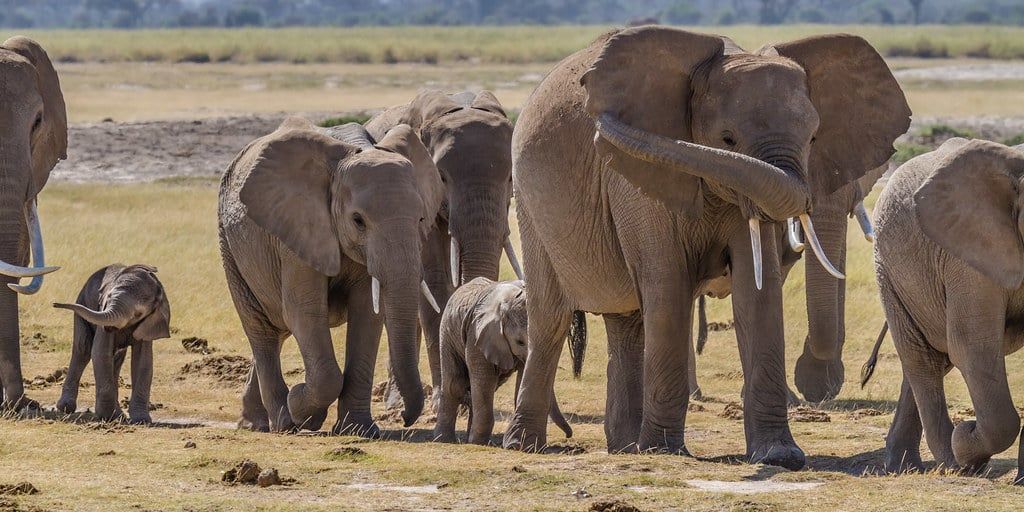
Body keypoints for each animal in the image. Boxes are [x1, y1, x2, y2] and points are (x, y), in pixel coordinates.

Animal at [53, 264, 171, 423]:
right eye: (108, 297)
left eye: (138, 314)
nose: (55, 304)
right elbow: (100, 352)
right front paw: (107, 416)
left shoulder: (148, 324)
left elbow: (143, 361)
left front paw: (141, 420)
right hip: (82, 301)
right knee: (83, 350)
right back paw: (66, 407)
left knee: (116, 359)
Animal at [218, 118, 443, 435]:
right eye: (358, 221)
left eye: (422, 218)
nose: (404, 417)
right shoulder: (298, 228)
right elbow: (305, 311)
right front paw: (302, 409)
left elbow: (368, 314)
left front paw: (358, 430)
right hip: (230, 246)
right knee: (261, 329)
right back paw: (282, 422)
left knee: (278, 330)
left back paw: (255, 422)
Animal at [434, 278, 571, 445]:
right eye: (519, 342)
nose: (568, 435)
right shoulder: (476, 334)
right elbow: (484, 380)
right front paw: (477, 443)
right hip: (447, 332)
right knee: (454, 384)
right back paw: (444, 440)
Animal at [504, 26, 910, 469]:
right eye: (727, 139)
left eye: (814, 137)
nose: (599, 124)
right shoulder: (634, 177)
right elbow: (667, 285)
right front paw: (665, 451)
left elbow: (757, 292)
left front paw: (780, 456)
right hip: (529, 202)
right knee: (551, 317)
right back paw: (526, 445)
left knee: (626, 321)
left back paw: (625, 446)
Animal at [868, 137, 1024, 482]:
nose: (968, 425)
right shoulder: (968, 257)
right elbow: (972, 347)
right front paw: (965, 439)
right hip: (889, 269)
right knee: (922, 358)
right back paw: (951, 463)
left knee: (933, 359)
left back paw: (904, 465)